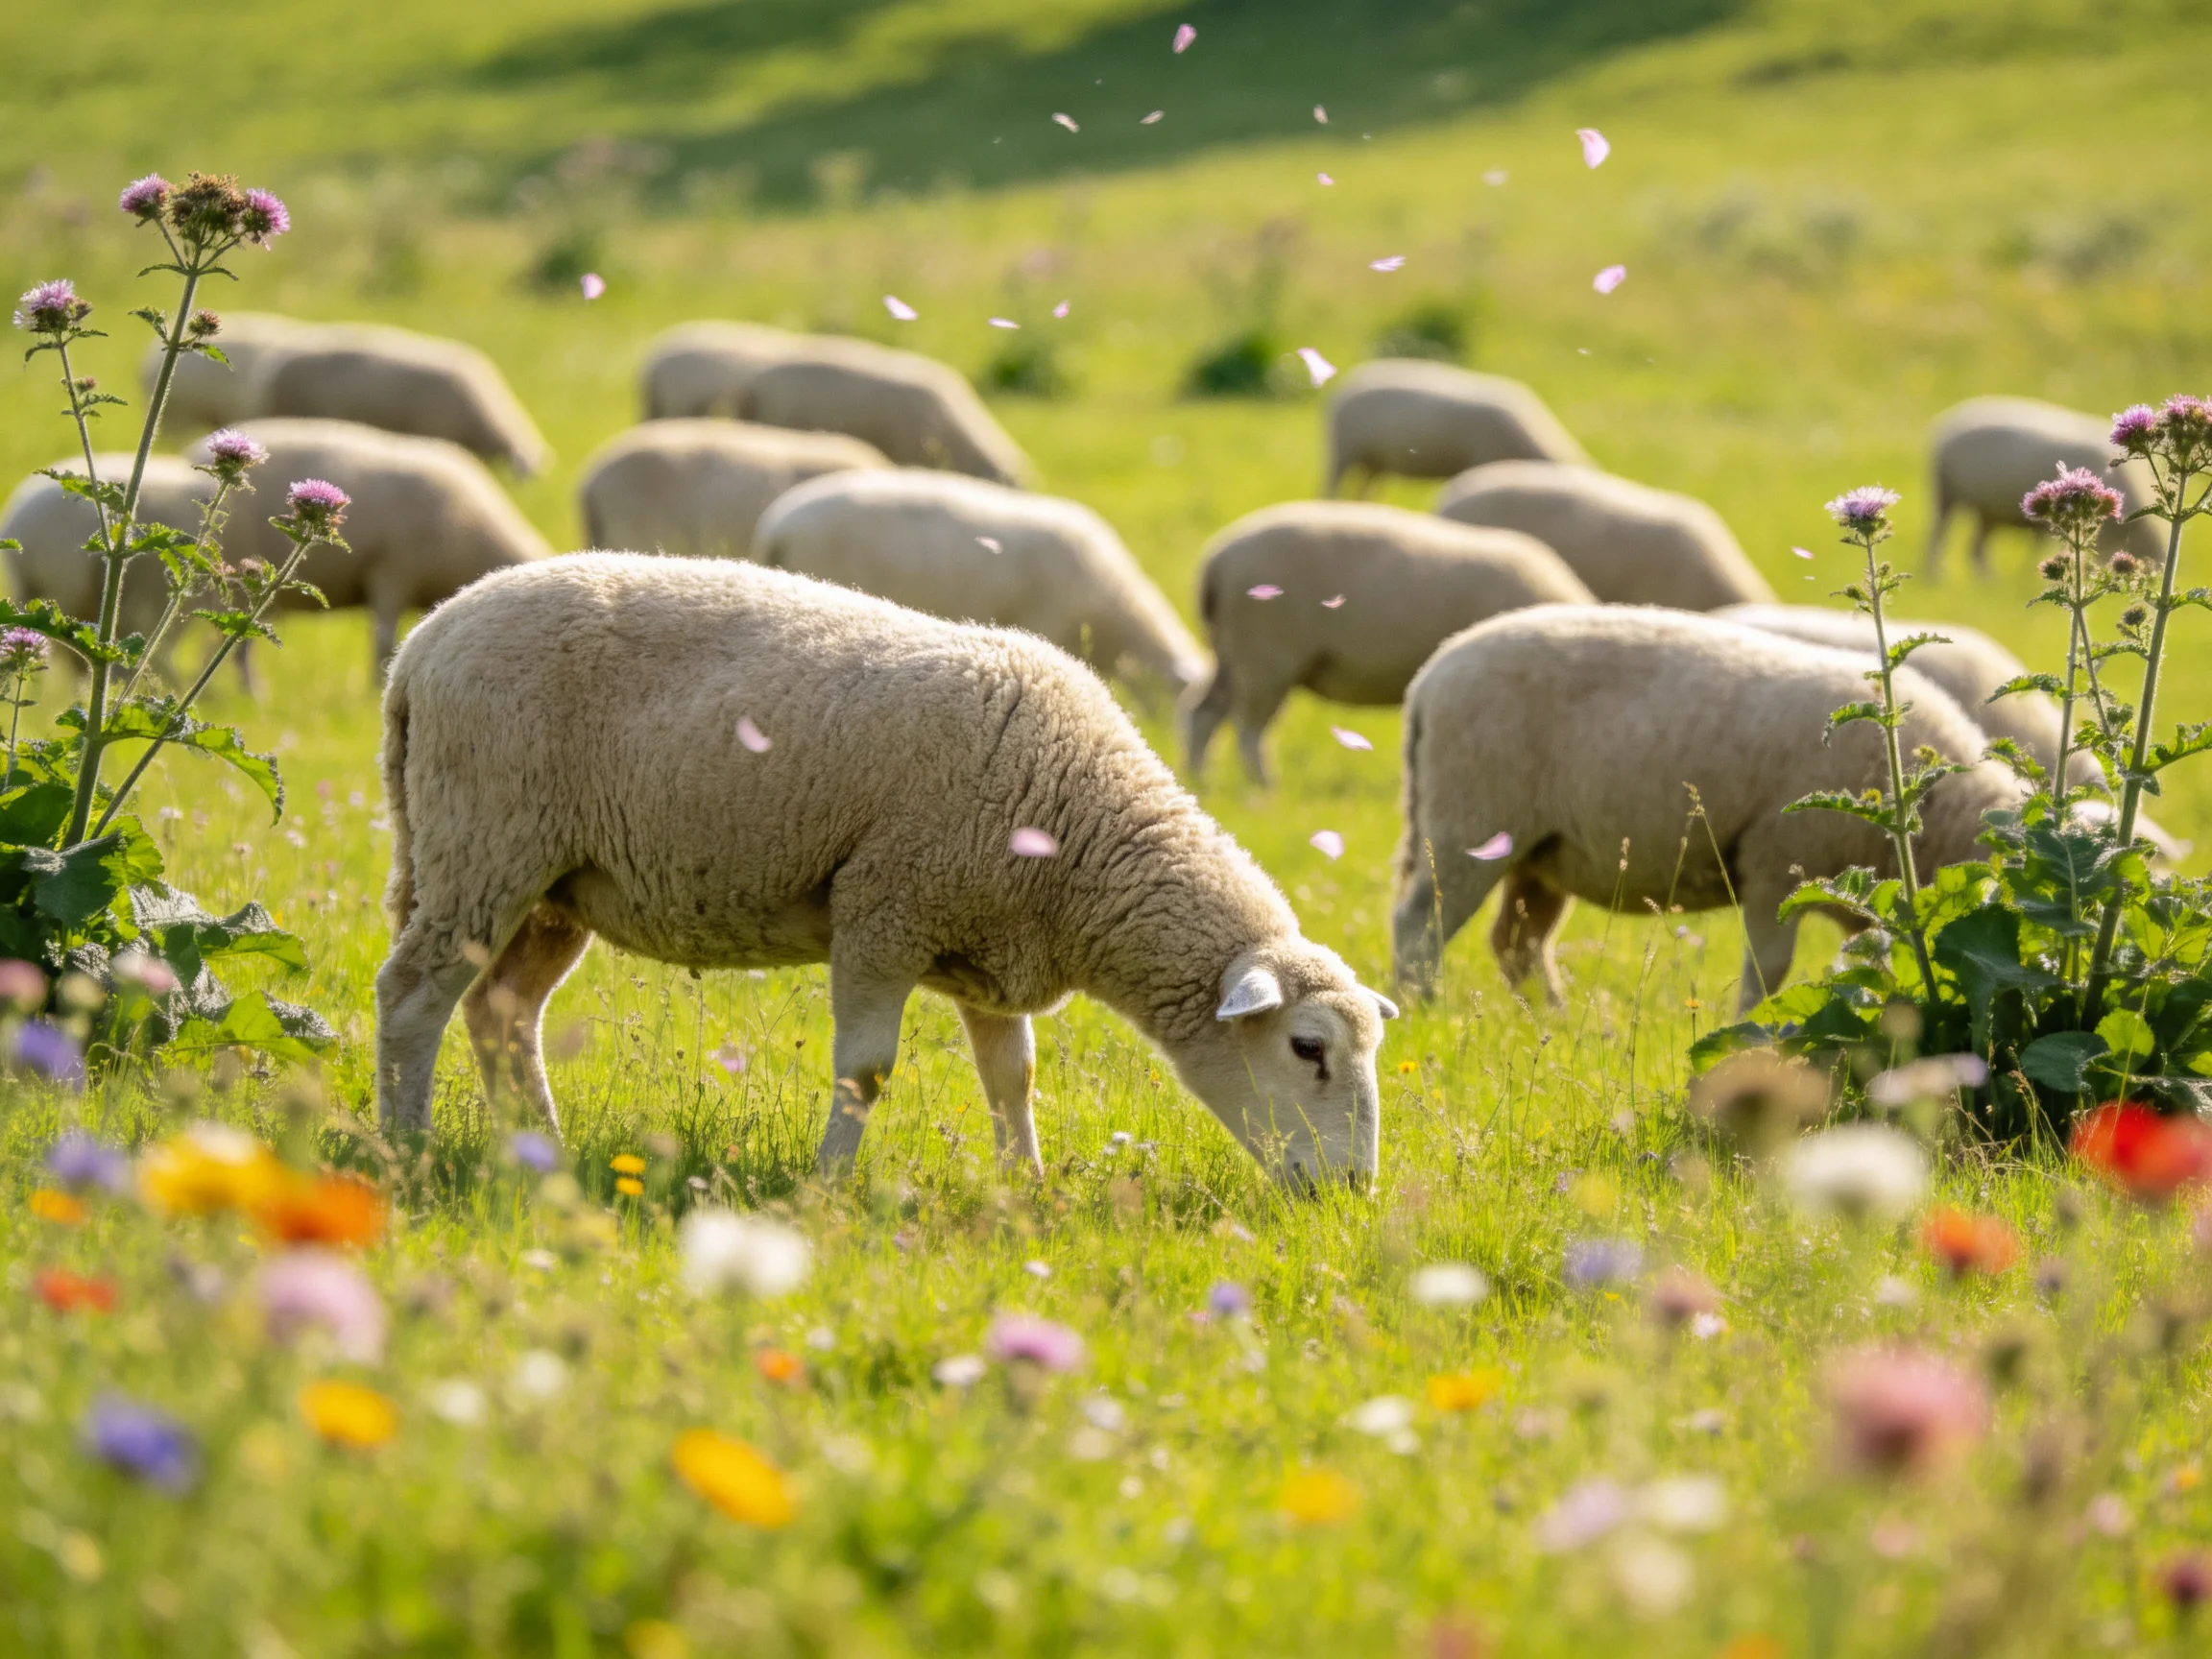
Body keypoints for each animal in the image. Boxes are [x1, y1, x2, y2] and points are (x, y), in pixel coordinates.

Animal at [374, 553, 1400, 1186]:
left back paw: (540, 1150)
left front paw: (1025, 1188)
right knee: (413, 996)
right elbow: (865, 1072)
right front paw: (828, 1184)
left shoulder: (991, 947)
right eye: (1308, 1049)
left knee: (503, 1010)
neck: (1083, 834)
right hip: (484, 843)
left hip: (553, 886)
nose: (1352, 1190)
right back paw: (406, 1147)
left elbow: (1013, 1077)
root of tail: (423, 647)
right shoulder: (885, 907)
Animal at [1181, 501, 1595, 785]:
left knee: (1202, 714)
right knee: (1249, 730)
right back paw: (1264, 790)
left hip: (1231, 651)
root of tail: (1216, 563)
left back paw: (1200, 780)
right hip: (1266, 653)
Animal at [1324, 361, 1589, 497]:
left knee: (1364, 491)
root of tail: (1351, 381)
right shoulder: (1483, 460)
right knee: (1331, 488)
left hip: (1375, 462)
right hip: (1342, 449)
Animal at [1390, 606, 2022, 1013]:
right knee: (1420, 927)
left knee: (1517, 943)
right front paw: (1754, 1030)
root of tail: (1427, 678)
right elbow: (1768, 971)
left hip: (1540, 852)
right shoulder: (1775, 866)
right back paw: (1424, 1008)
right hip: (1469, 820)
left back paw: (1555, 1019)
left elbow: (1875, 966)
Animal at [1928, 396, 2162, 573]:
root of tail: (1943, 430)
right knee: (1936, 541)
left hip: (1987, 511)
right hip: (1945, 494)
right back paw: (1934, 577)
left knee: (1975, 549)